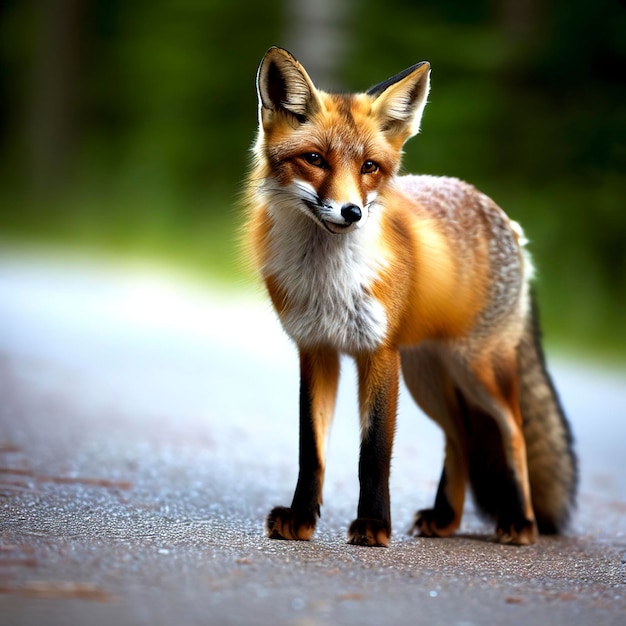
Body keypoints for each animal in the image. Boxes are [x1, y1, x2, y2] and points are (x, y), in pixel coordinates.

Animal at [243, 46, 576, 544]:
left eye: (369, 167)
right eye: (315, 159)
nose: (352, 212)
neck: (329, 282)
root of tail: (501, 215)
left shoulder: (379, 354)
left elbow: (373, 453)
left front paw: (373, 525)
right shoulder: (316, 349)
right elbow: (312, 450)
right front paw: (301, 519)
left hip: (478, 369)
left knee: (512, 430)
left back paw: (521, 521)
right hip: (428, 376)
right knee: (460, 437)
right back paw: (445, 518)